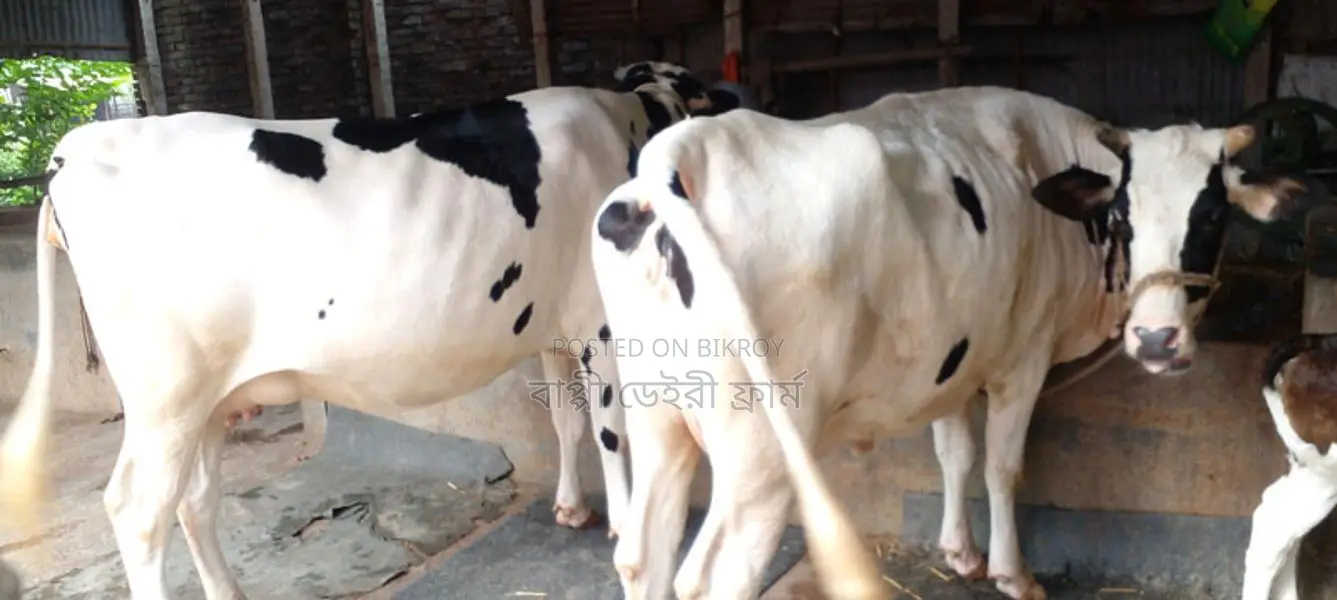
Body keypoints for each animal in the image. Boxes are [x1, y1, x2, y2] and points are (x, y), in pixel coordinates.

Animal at [0, 61, 745, 600]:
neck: (624, 119)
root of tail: (81, 147)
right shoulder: (599, 323)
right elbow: (610, 433)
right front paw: (622, 527)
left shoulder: (555, 327)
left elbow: (565, 420)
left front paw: (570, 508)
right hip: (166, 395)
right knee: (139, 510)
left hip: (204, 399)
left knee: (195, 502)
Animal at [588, 86, 1324, 600]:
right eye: (1121, 215)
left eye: (1212, 215)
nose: (1156, 340)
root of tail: (685, 151)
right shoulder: (1021, 361)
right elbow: (1001, 465)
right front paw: (1010, 572)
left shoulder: (954, 356)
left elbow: (954, 452)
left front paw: (959, 552)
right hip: (761, 454)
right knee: (714, 576)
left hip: (659, 419)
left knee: (643, 554)